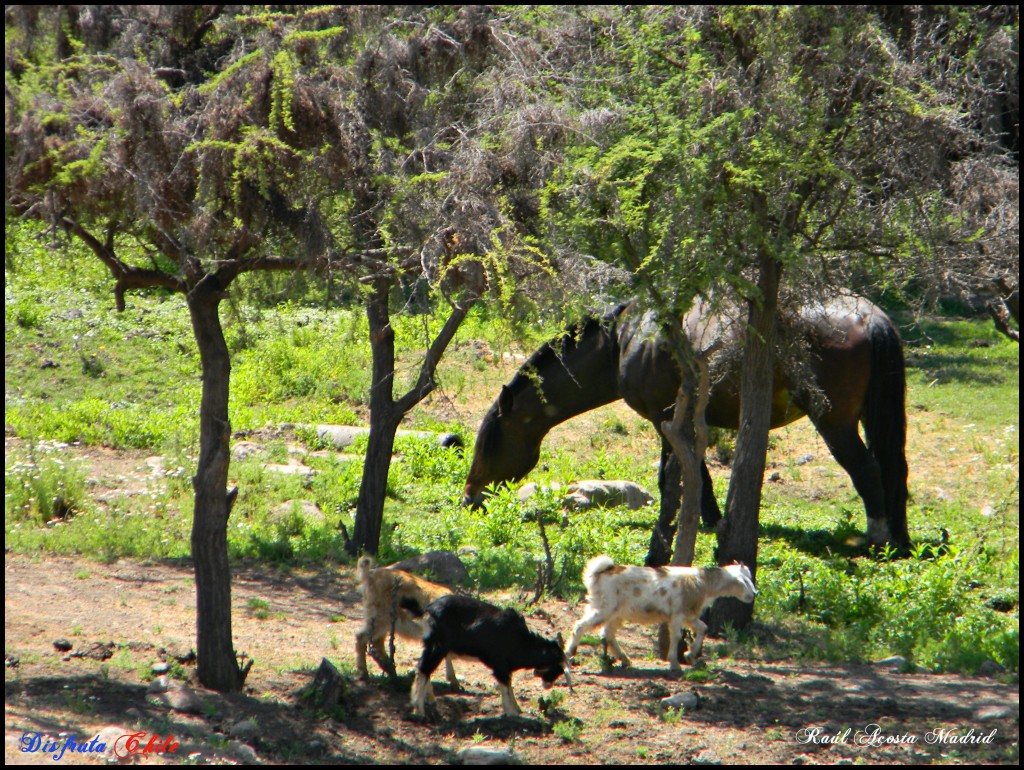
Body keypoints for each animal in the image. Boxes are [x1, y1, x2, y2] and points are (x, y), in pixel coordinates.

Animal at [356, 552, 460, 683]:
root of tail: (369, 575)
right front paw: (455, 682)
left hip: (382, 621)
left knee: (377, 642)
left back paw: (391, 673)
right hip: (380, 618)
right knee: (361, 637)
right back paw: (365, 675)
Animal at [401, 593, 577, 716]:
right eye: (557, 668)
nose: (547, 685)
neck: (520, 641)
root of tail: (427, 610)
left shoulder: (505, 666)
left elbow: (509, 684)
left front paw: (516, 708)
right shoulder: (499, 664)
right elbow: (505, 686)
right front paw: (511, 712)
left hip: (432, 645)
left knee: (424, 670)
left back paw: (429, 702)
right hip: (437, 646)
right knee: (423, 669)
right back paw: (419, 710)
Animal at [460, 290, 909, 561]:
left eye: (488, 443)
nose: (468, 499)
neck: (626, 340)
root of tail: (870, 317)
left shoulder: (663, 420)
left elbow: (671, 478)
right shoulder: (687, 422)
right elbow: (700, 475)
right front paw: (709, 520)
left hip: (835, 423)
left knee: (868, 471)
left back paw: (878, 542)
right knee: (895, 471)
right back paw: (901, 543)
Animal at [565, 552, 757, 671]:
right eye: (745, 580)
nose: (754, 594)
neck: (704, 583)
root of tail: (601, 572)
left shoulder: (688, 615)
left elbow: (703, 628)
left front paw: (690, 655)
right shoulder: (678, 614)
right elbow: (677, 636)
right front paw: (675, 663)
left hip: (616, 612)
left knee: (608, 634)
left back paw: (625, 659)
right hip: (603, 607)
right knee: (580, 626)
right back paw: (569, 654)